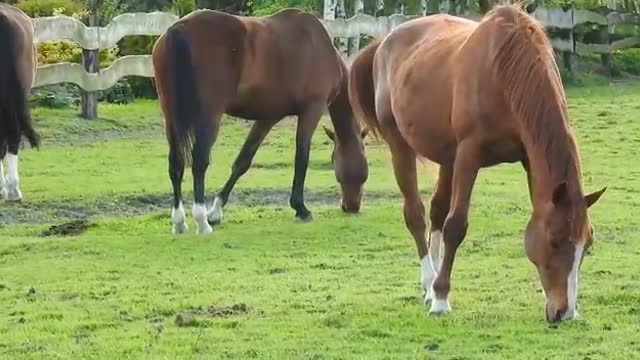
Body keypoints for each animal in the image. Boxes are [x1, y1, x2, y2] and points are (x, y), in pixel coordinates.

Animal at [152, 8, 368, 236]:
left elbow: (243, 161)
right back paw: (201, 222)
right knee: (199, 161)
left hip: (171, 117)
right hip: (209, 116)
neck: (321, 48)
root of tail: (179, 28)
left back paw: (179, 222)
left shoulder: (268, 117)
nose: (351, 207)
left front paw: (216, 211)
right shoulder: (312, 109)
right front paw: (301, 208)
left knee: (176, 162)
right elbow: (302, 156)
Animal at [350, 3, 604, 324]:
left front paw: (438, 292)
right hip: (401, 147)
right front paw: (442, 299)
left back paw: (430, 285)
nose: (565, 312)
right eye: (555, 241)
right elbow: (456, 226)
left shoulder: (526, 158)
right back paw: (429, 281)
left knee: (436, 210)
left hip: (447, 158)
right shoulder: (469, 155)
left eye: (587, 244)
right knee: (416, 214)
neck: (504, 74)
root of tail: (384, 43)